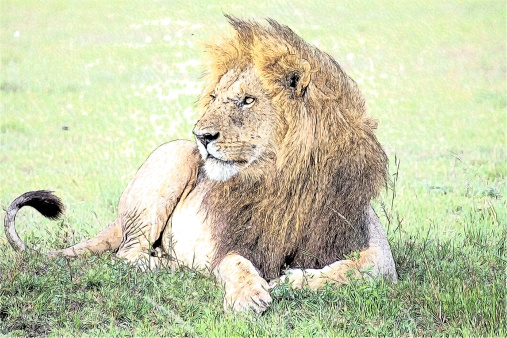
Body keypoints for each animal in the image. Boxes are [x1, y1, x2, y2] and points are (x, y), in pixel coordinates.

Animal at [5, 17, 398, 312]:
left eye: (247, 100)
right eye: (214, 97)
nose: (201, 136)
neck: (281, 178)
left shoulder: (367, 240)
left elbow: (362, 269)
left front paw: (296, 279)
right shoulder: (231, 240)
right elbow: (235, 263)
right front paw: (248, 296)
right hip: (172, 162)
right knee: (128, 255)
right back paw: (173, 267)